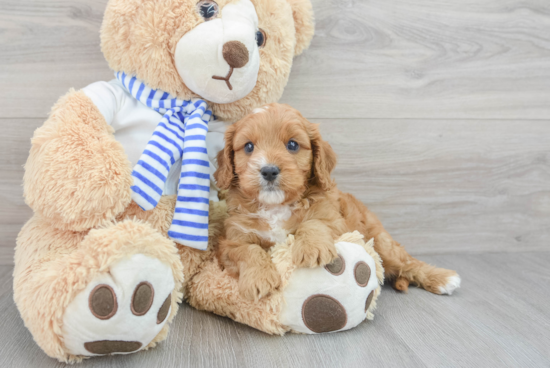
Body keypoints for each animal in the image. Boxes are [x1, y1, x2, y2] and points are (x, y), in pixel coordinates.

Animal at [216, 102, 462, 300]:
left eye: (293, 145)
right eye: (249, 146)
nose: (268, 171)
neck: (275, 206)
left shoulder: (336, 221)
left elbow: (313, 222)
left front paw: (312, 247)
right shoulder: (232, 239)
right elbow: (247, 250)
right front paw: (258, 278)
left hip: (382, 243)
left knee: (408, 263)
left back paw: (443, 279)